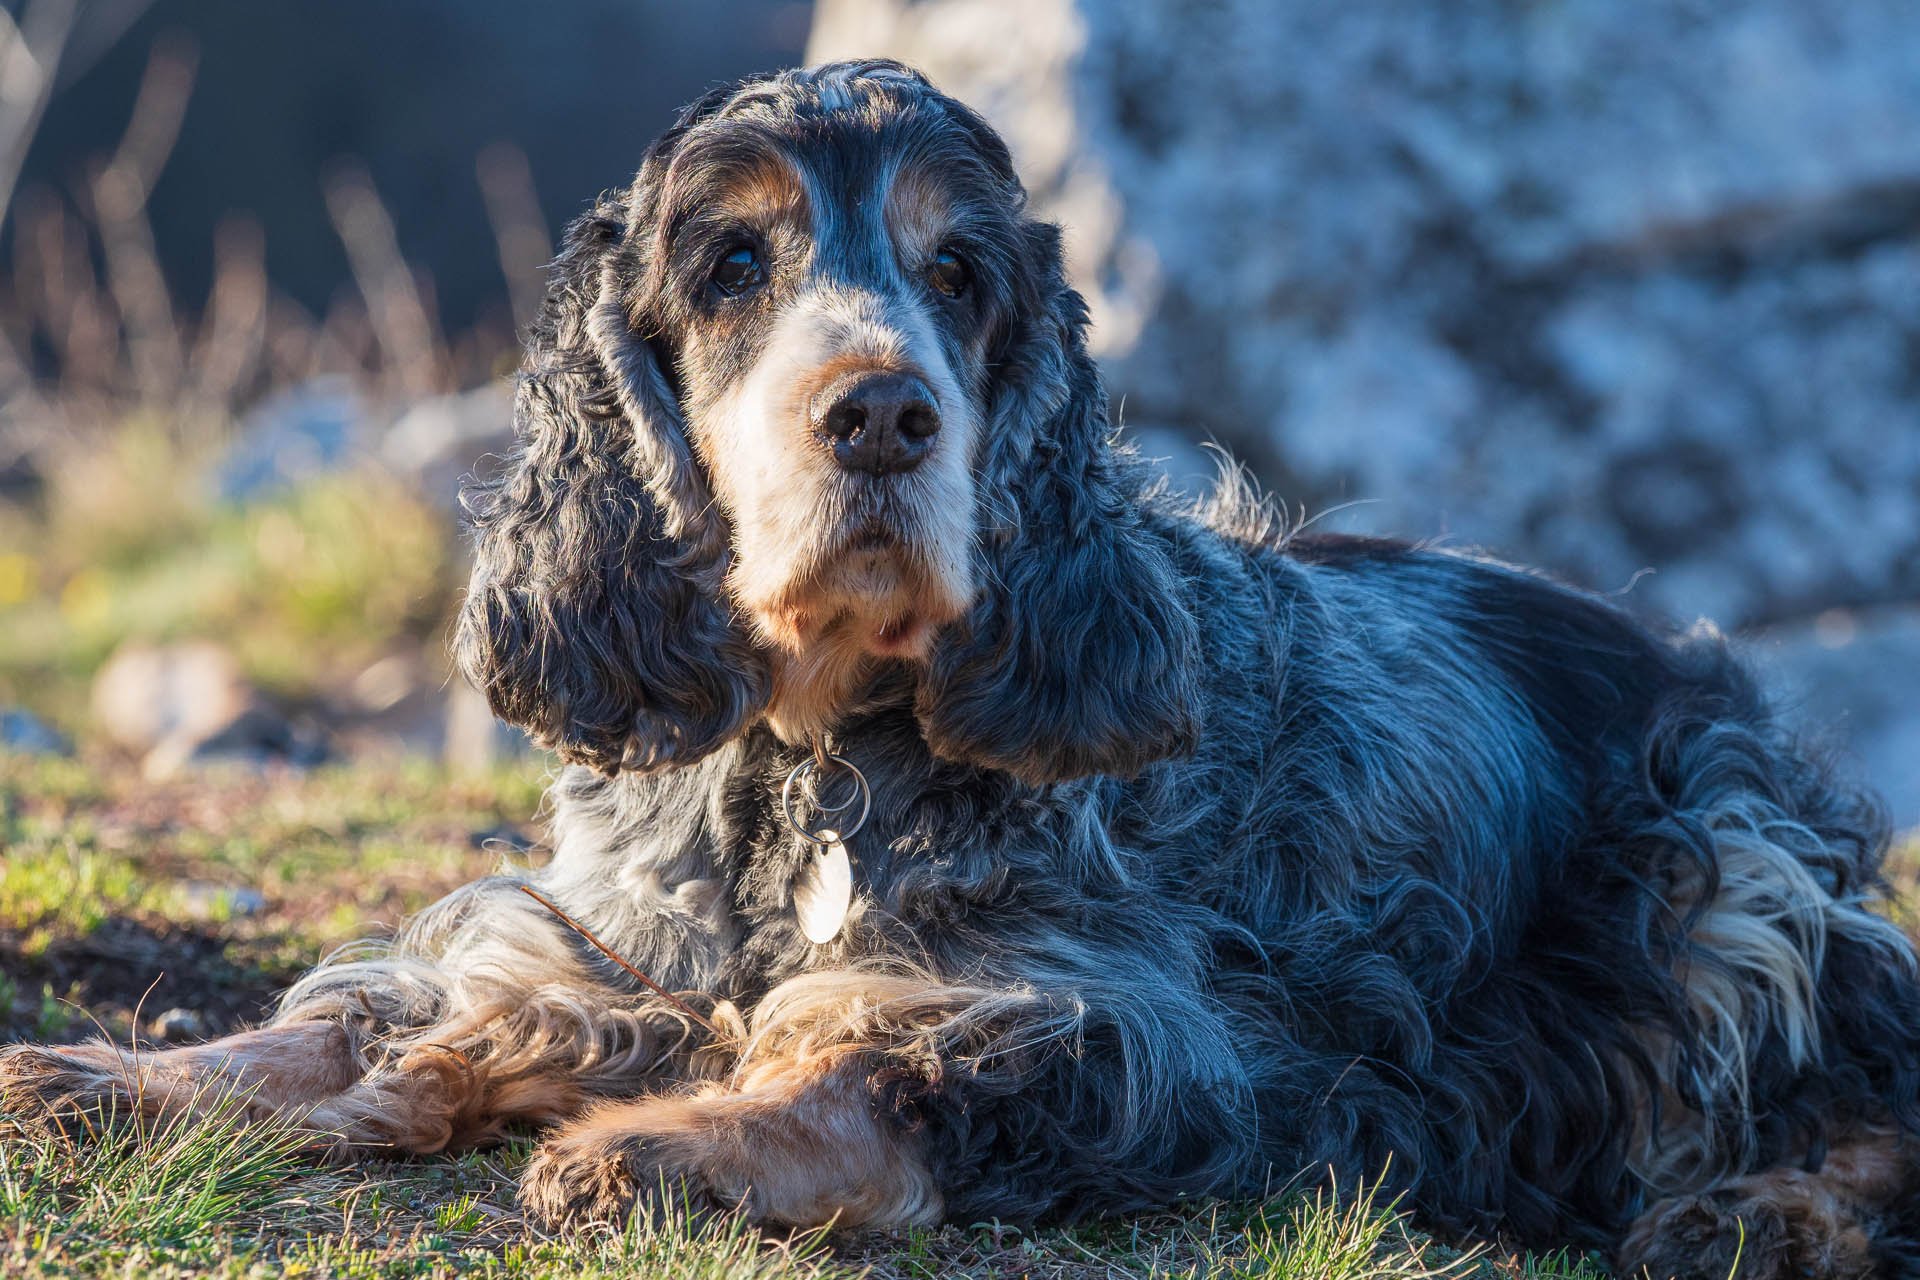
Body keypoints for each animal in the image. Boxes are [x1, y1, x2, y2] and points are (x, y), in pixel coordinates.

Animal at [3, 62, 1920, 1280]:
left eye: (958, 272)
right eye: (733, 263)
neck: (798, 766)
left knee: (1862, 1080)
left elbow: (878, 1062)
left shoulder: (1134, 1023)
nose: (882, 413)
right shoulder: (586, 943)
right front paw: (110, 1077)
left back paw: (1763, 1217)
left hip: (1720, 888)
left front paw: (662, 1146)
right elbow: (358, 1021)